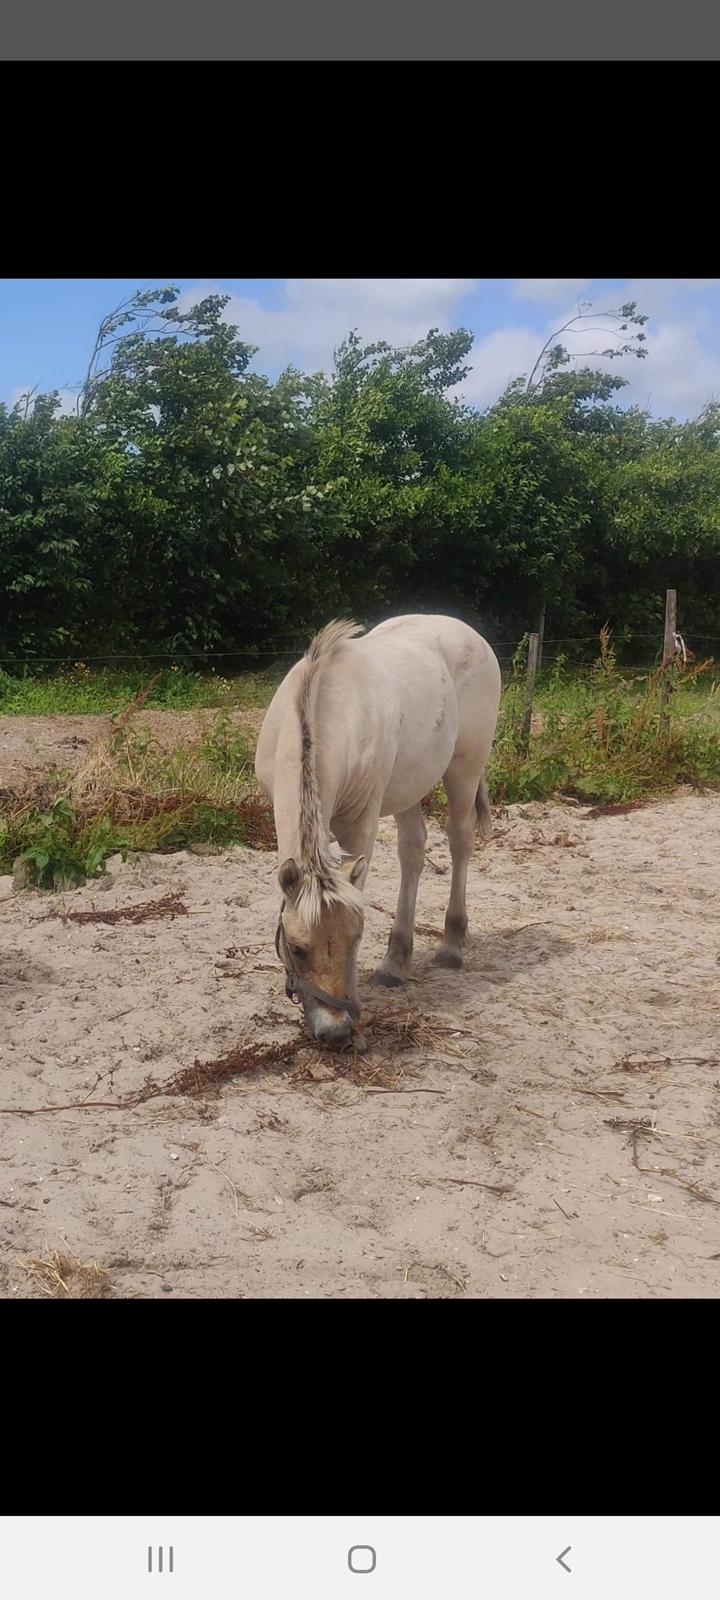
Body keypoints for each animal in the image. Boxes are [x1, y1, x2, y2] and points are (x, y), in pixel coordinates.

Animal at [254, 611, 499, 1049]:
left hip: (464, 771)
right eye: (297, 949)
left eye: (355, 940)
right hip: (409, 787)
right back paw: (395, 962)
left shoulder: (359, 824)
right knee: (413, 852)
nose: (335, 1031)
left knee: (460, 843)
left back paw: (452, 946)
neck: (322, 710)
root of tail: (468, 632)